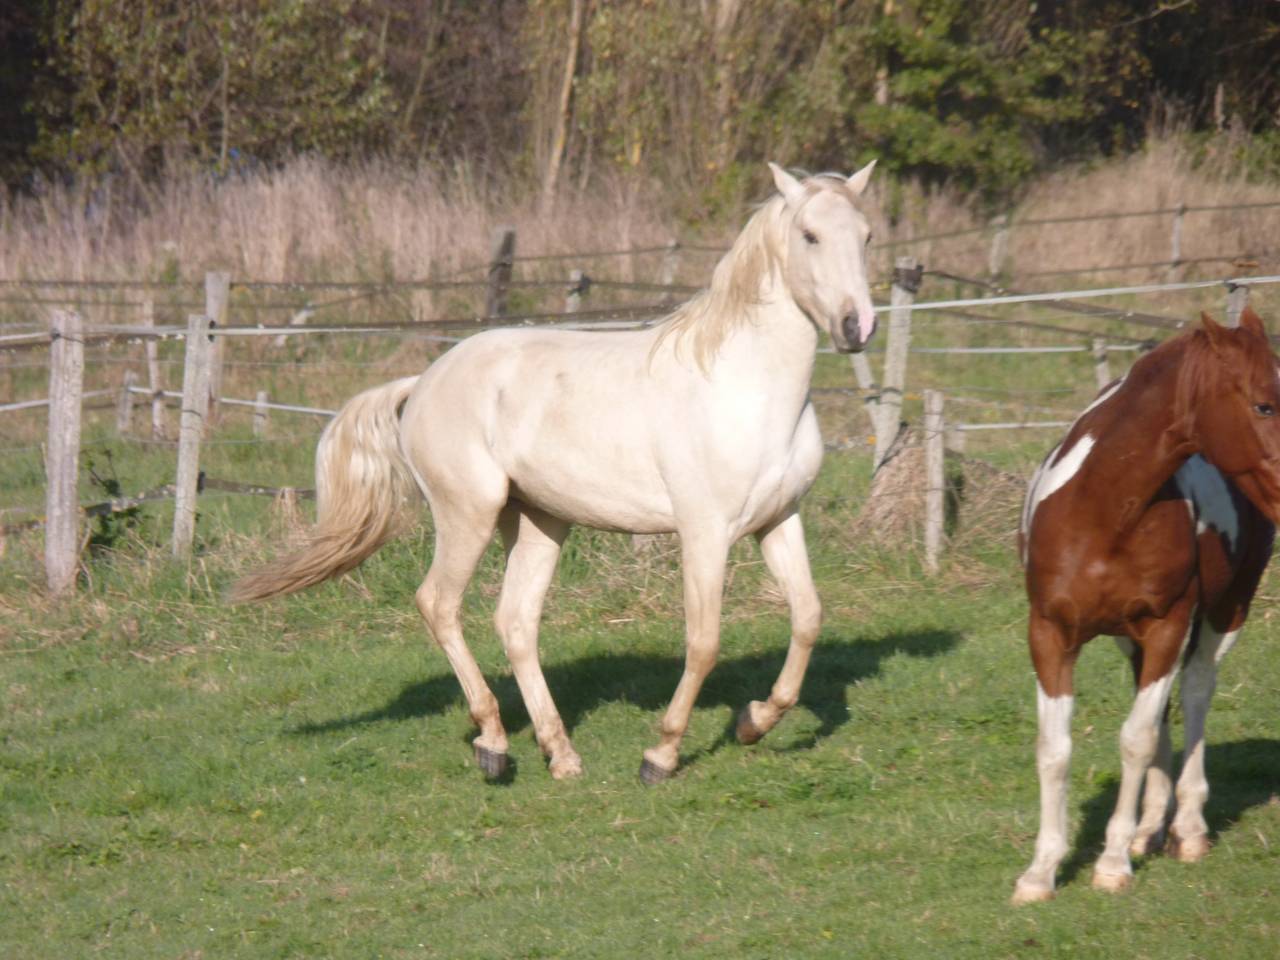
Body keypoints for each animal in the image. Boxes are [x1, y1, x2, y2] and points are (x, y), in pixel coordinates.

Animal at [232, 160, 880, 784]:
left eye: (867, 236)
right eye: (810, 235)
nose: (857, 328)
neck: (744, 387)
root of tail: (423, 382)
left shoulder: (778, 520)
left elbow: (808, 618)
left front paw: (754, 722)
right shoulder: (705, 533)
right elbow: (703, 642)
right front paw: (661, 756)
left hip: (539, 522)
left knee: (516, 622)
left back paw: (560, 754)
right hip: (468, 513)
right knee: (439, 604)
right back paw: (493, 744)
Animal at [1012, 306, 1280, 903]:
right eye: (1263, 404)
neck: (1103, 509)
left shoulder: (1168, 626)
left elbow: (1135, 738)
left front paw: (1111, 863)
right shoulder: (1050, 635)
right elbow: (1054, 748)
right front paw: (1041, 871)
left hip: (1227, 610)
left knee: (1196, 690)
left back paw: (1187, 828)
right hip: (1128, 638)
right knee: (1159, 705)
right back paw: (1150, 827)